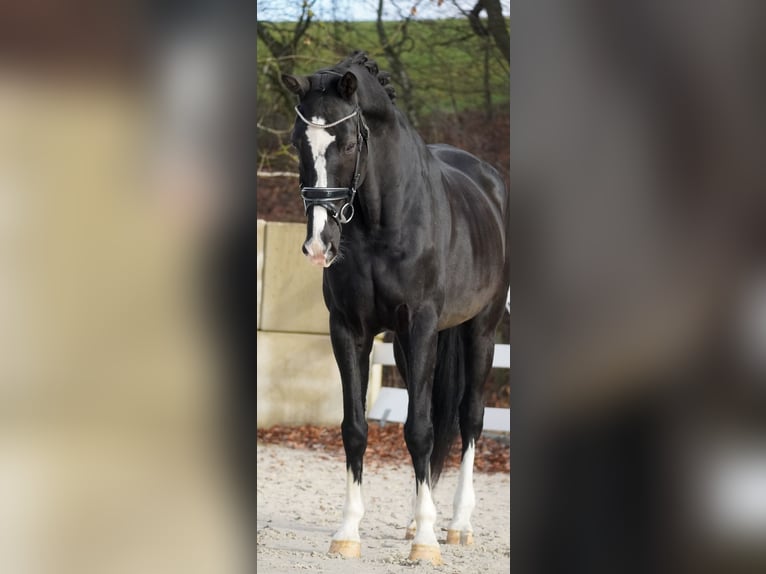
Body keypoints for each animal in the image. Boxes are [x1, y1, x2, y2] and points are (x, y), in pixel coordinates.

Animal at [282, 51, 509, 565]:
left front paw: (426, 542)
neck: (382, 222)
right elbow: (355, 427)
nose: (319, 245)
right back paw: (414, 521)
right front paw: (347, 532)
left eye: (348, 143)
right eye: (298, 142)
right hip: (410, 349)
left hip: (481, 331)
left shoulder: (421, 326)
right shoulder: (349, 331)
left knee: (469, 418)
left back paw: (457, 525)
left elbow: (421, 429)